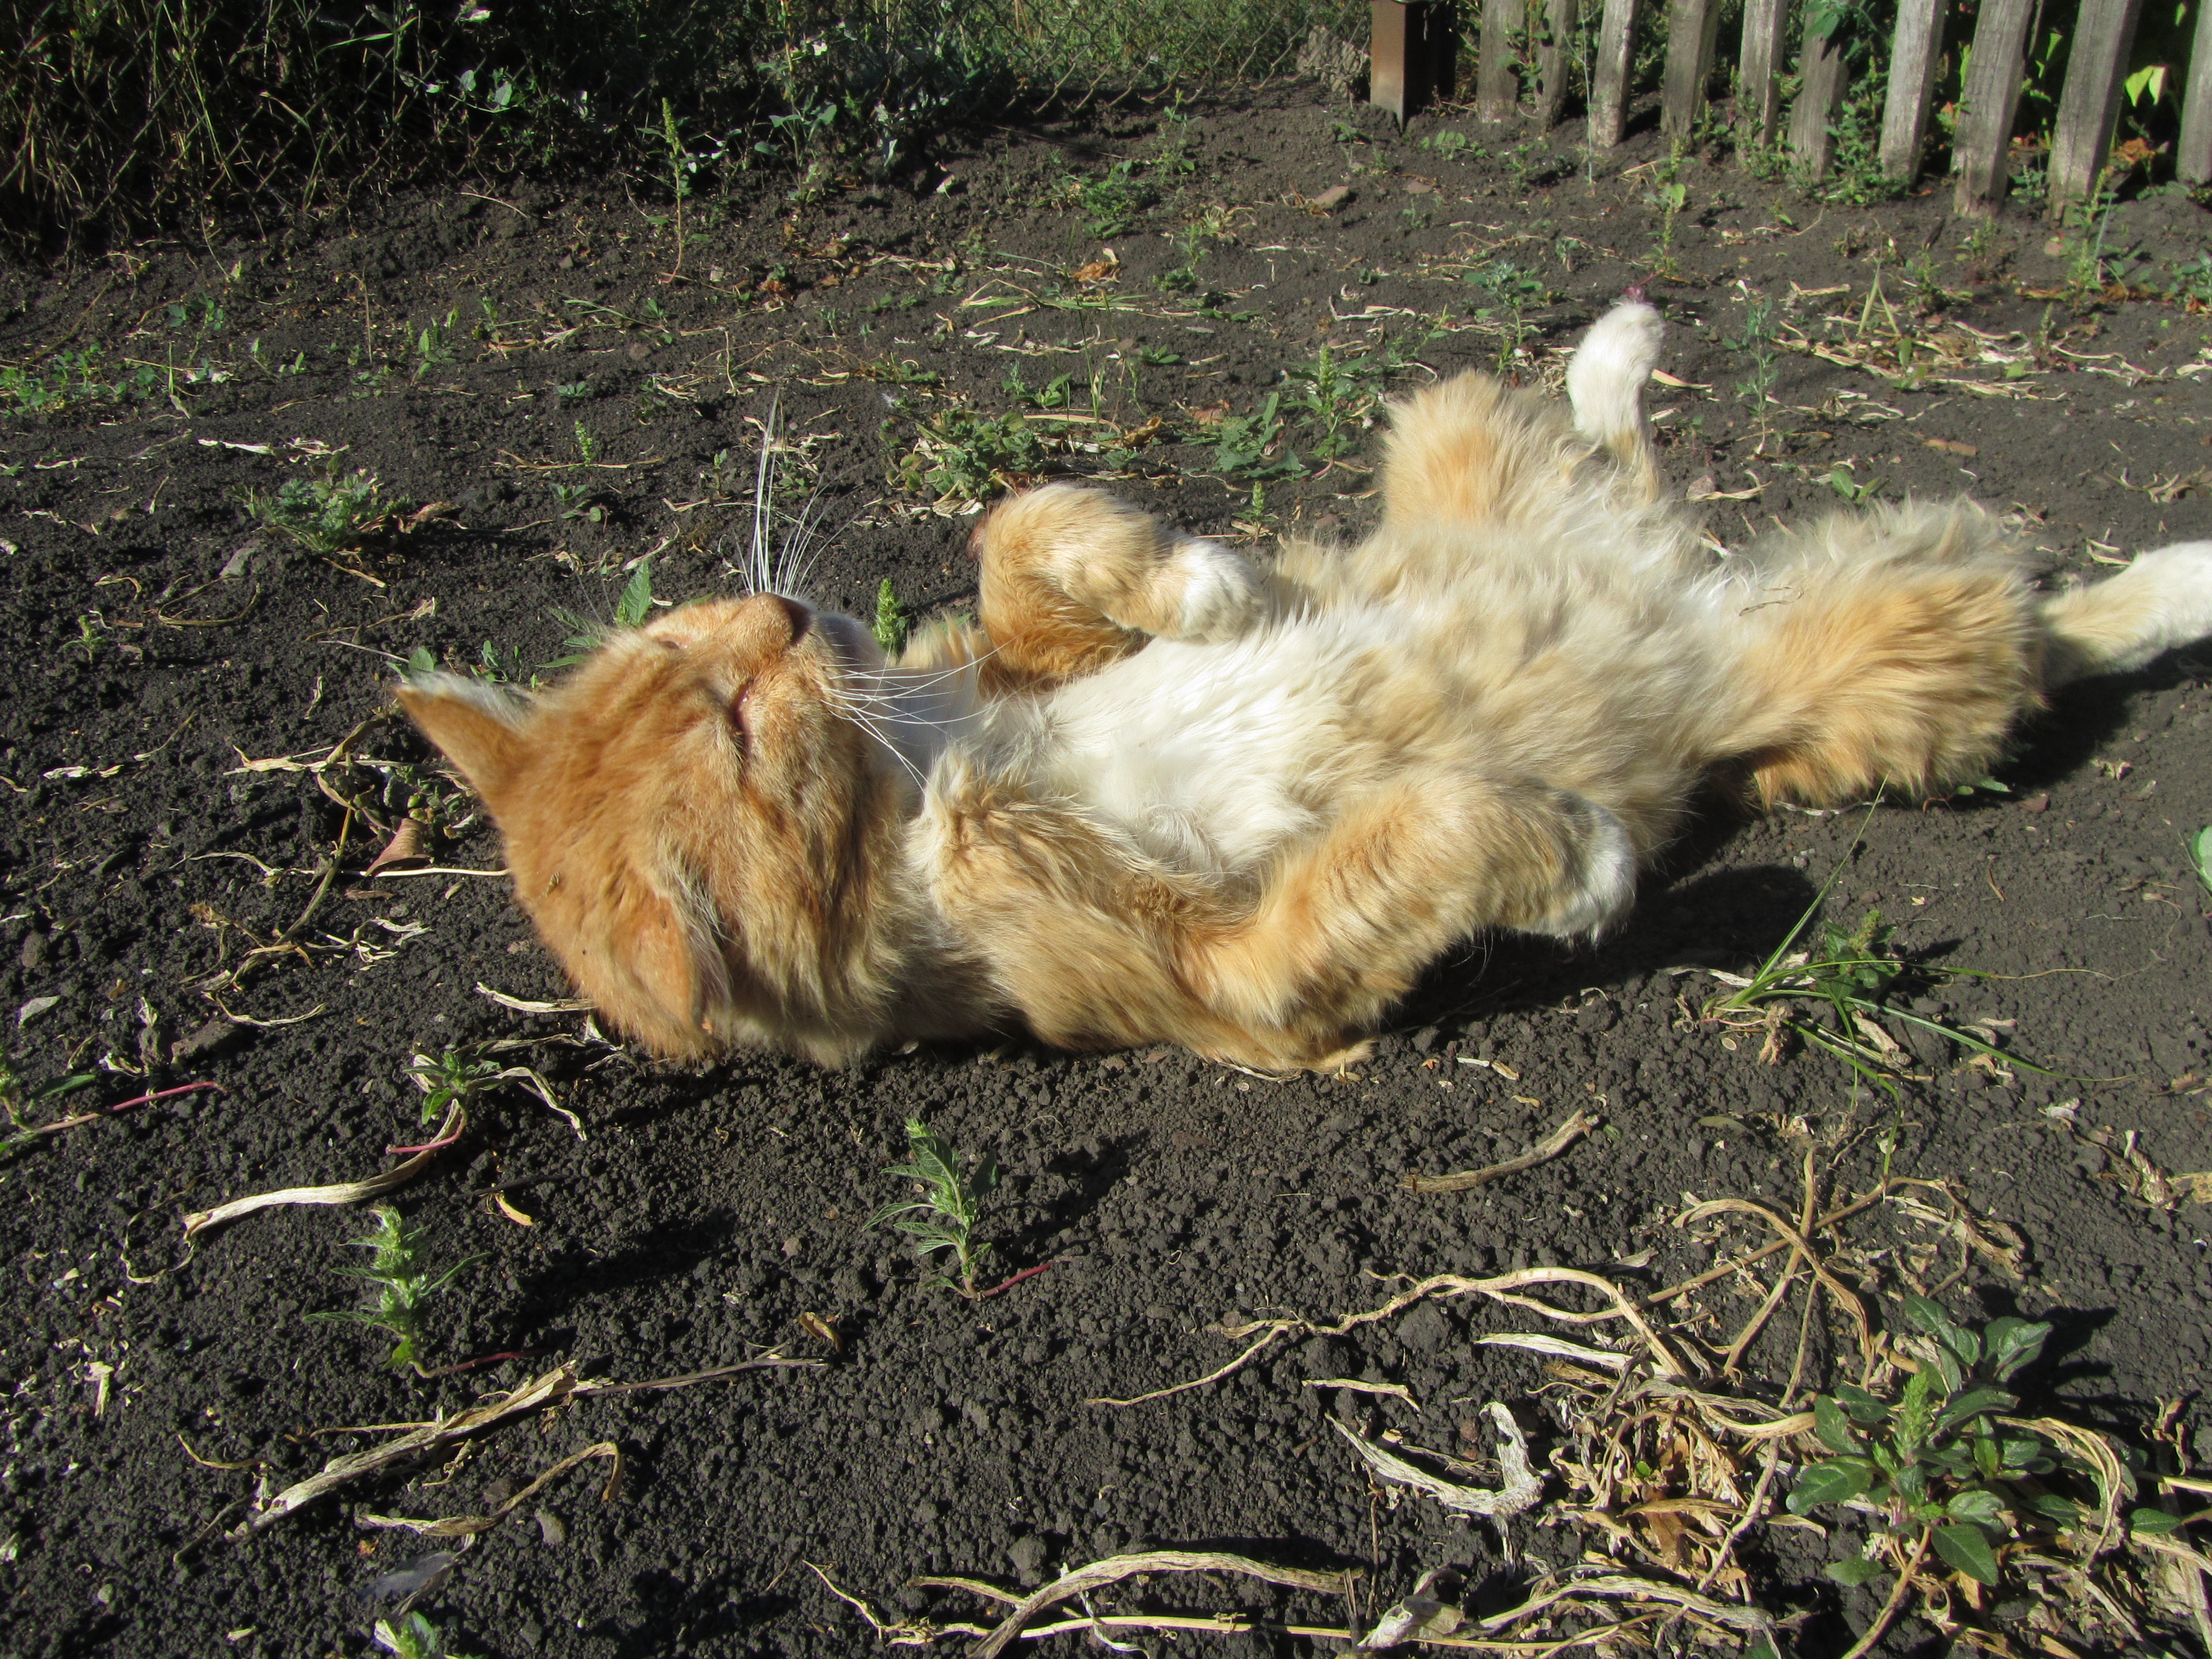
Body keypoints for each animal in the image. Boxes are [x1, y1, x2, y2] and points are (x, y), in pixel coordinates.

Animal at [398, 299, 2212, 1070]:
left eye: (684, 644)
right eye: (731, 723)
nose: (779, 613)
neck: (923, 768)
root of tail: (1706, 601)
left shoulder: (996, 647)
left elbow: (1021, 525)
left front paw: (1211, 584)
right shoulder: (1231, 979)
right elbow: (1416, 843)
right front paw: (1574, 862)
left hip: (1454, 430)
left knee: (1617, 454)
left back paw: (1619, 343)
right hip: (1896, 670)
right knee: (2054, 623)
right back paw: (2182, 575)